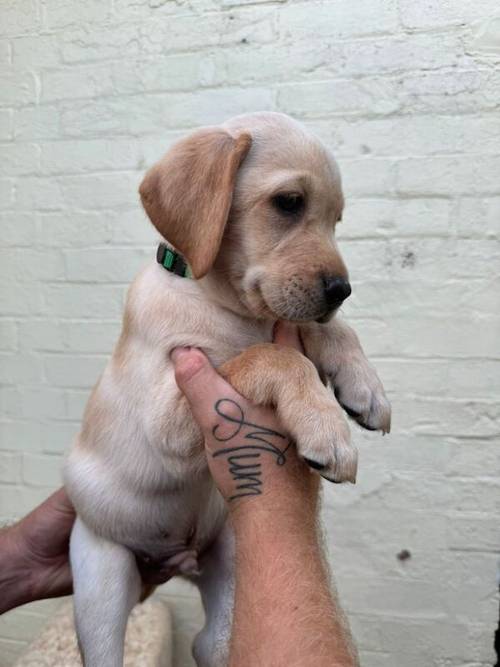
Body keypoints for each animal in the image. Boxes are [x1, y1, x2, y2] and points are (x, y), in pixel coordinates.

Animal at [64, 112, 390, 664]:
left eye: (336, 220)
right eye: (288, 202)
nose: (342, 292)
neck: (224, 306)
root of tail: (180, 561)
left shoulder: (282, 322)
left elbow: (318, 331)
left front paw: (364, 385)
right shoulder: (168, 422)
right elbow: (270, 356)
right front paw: (326, 428)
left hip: (229, 588)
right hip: (100, 575)